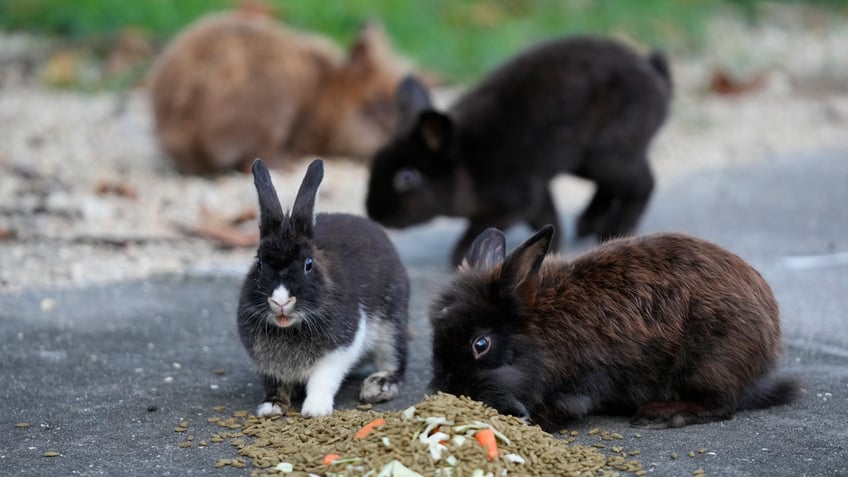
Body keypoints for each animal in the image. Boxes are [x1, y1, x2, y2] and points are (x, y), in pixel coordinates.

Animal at [237, 158, 410, 414]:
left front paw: (315, 409)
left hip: (391, 325)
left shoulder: (340, 350)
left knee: (395, 361)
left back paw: (377, 387)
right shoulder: (267, 365)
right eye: (258, 263)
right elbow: (275, 384)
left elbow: (323, 379)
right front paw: (271, 407)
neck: (291, 327)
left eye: (308, 264)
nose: (280, 300)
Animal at [368, 35, 672, 264]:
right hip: (587, 163)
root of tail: (654, 77)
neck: (465, 161)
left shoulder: (514, 201)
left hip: (606, 156)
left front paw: (459, 257)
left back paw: (613, 230)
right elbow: (547, 216)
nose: (374, 213)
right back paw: (589, 224)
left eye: (407, 177)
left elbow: (481, 227)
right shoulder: (537, 191)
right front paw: (555, 247)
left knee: (643, 184)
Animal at [430, 225, 800, 430]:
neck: (540, 329)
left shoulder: (582, 383)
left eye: (481, 344)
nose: (445, 389)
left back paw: (661, 415)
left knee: (722, 405)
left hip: (709, 363)